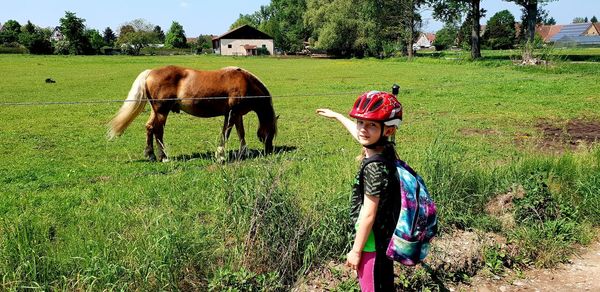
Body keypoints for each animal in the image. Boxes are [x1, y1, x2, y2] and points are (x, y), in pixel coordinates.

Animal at [108, 65, 276, 162]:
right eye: (272, 132)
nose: (269, 150)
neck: (245, 82)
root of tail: (150, 72)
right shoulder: (232, 114)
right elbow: (226, 133)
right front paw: (221, 155)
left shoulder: (237, 114)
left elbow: (241, 132)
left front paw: (244, 152)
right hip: (162, 112)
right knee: (158, 131)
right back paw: (163, 157)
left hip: (156, 111)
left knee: (149, 127)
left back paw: (151, 155)